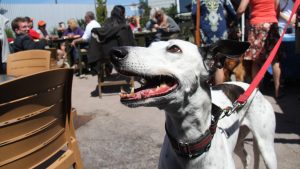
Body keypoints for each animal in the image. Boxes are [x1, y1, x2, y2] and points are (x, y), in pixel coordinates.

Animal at [110, 40, 276, 169]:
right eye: (150, 45)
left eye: (174, 48)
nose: (115, 52)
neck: (190, 147)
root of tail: (251, 87)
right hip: (239, 140)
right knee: (246, 157)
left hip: (266, 148)